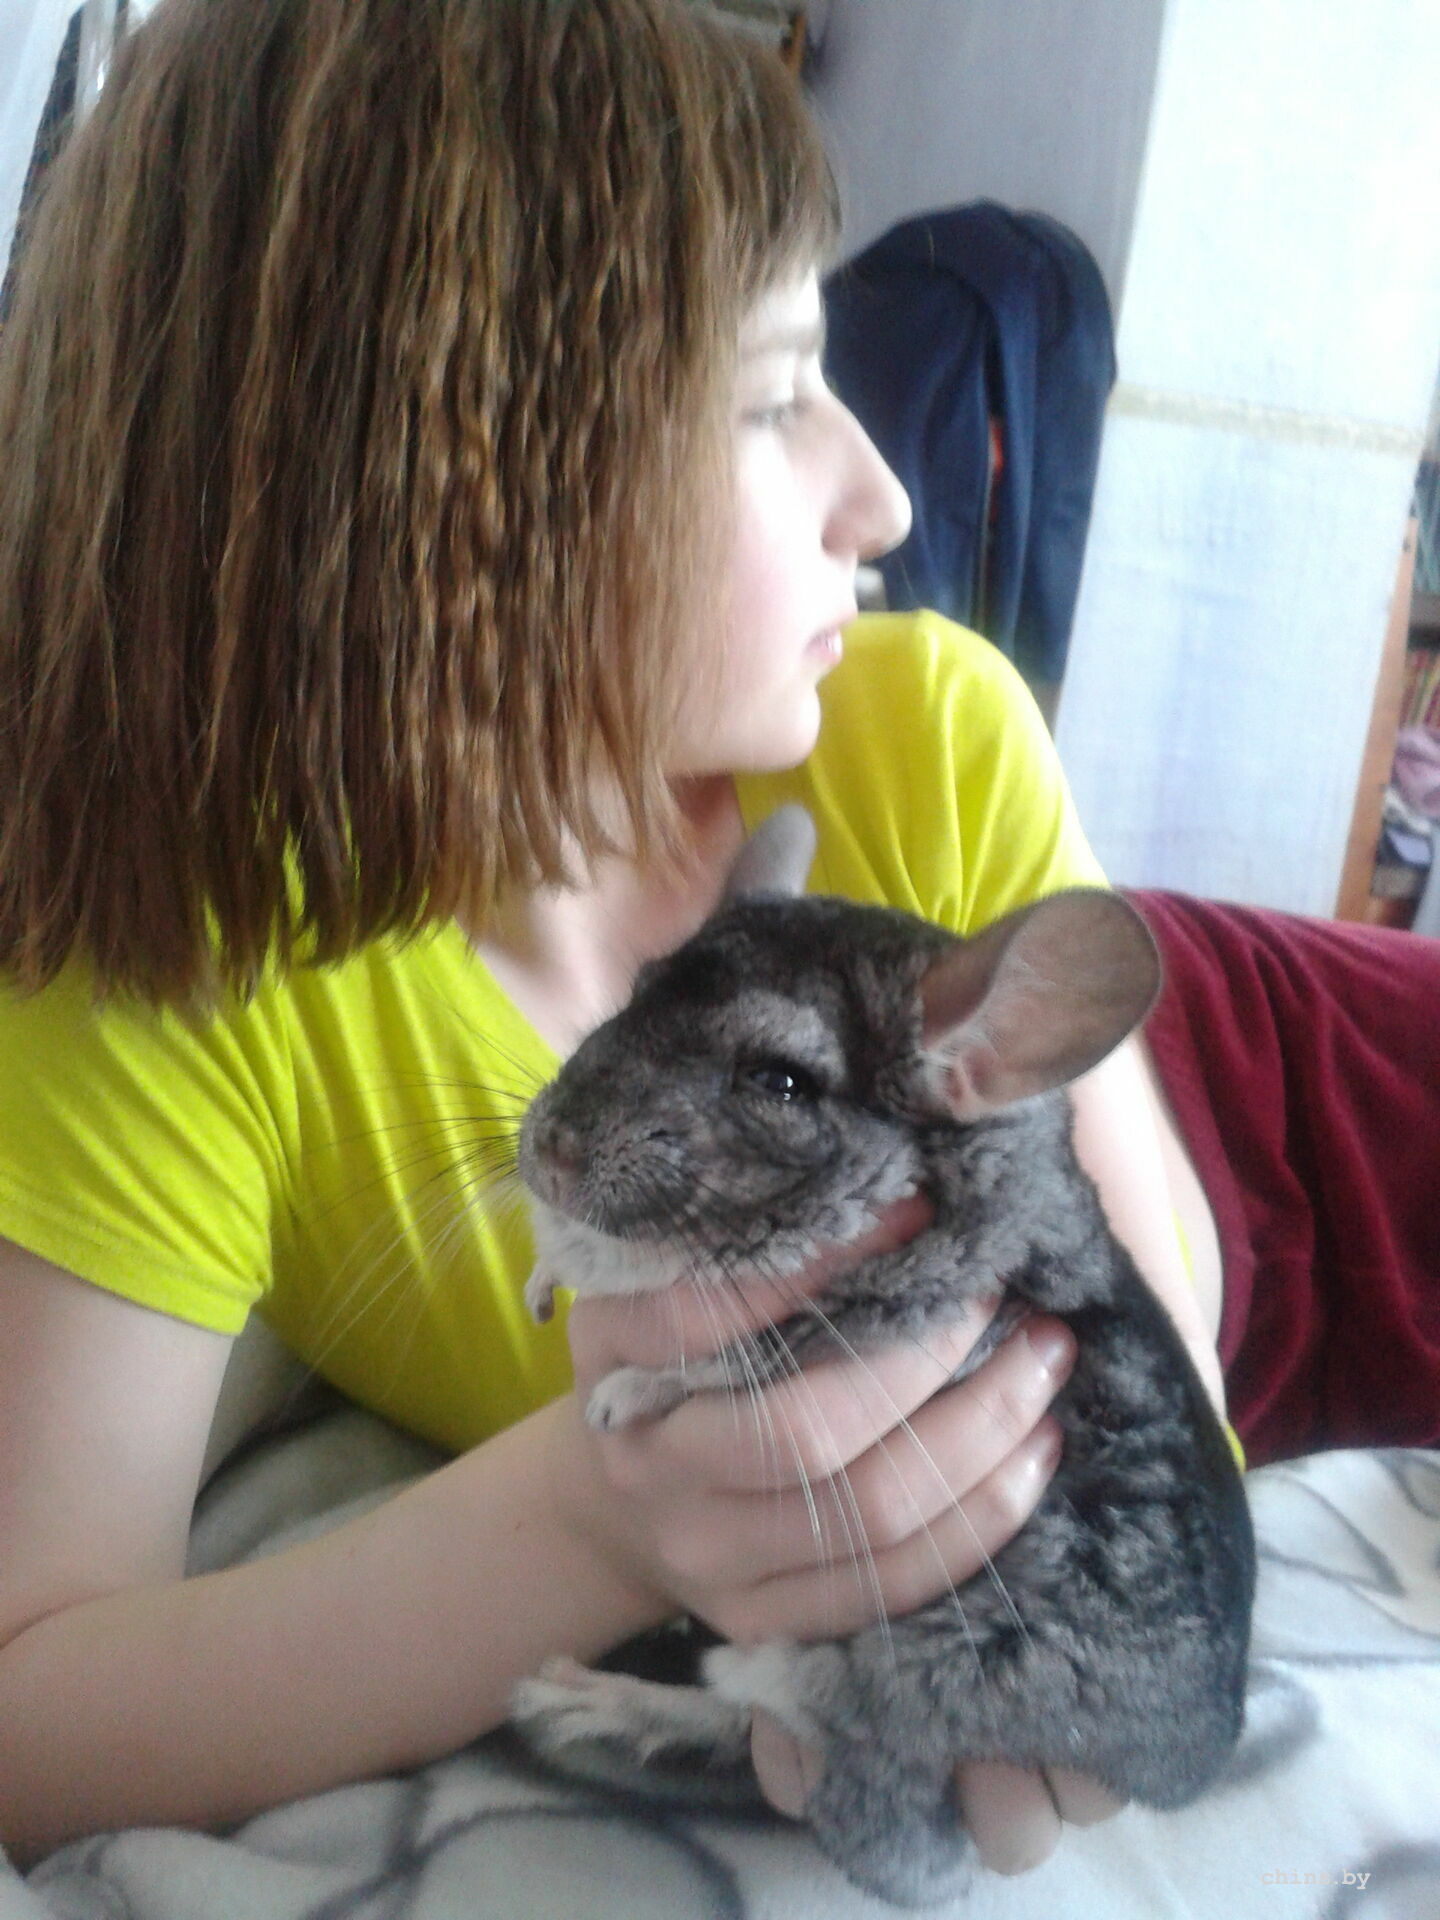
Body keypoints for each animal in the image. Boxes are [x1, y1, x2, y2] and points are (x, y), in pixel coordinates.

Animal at [510, 804, 1255, 1908]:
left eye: (779, 1081)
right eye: (637, 992)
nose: (550, 1150)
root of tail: (1183, 1770)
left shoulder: (908, 1301)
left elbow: (742, 1350)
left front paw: (620, 1393)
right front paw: (541, 1278)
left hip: (942, 1673)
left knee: (816, 1735)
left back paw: (710, 1677)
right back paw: (575, 1697)